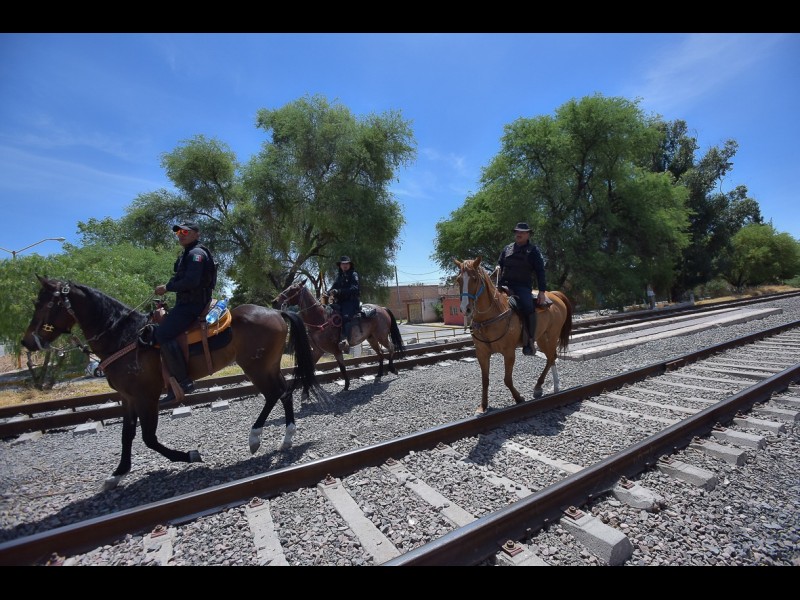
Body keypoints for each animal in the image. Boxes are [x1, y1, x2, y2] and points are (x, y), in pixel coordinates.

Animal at [20, 276, 327, 491]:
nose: (27, 342)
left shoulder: (146, 397)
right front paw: (116, 475)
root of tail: (277, 313)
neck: (124, 337)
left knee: (275, 393)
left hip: (256, 367)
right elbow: (127, 436)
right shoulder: (128, 398)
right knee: (284, 392)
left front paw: (190, 455)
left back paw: (255, 438)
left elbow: (148, 438)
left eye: (44, 304)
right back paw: (286, 438)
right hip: (266, 366)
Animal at [272, 280, 406, 391]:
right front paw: (304, 391)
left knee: (391, 347)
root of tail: (382, 308)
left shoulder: (336, 350)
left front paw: (346, 385)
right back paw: (379, 374)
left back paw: (392, 369)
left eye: (293, 289)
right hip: (372, 338)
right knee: (381, 354)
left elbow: (342, 367)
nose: (274, 302)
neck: (321, 319)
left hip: (381, 336)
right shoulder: (317, 351)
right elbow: (308, 368)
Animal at [454, 257, 573, 415]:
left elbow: (507, 379)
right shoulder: (482, 353)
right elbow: (485, 380)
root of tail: (555, 294)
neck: (492, 315)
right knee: (550, 357)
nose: (465, 308)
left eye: (474, 279)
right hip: (541, 337)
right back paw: (540, 387)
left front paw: (518, 398)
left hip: (552, 335)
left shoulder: (509, 352)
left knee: (552, 356)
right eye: (458, 279)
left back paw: (554, 386)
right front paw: (483, 406)